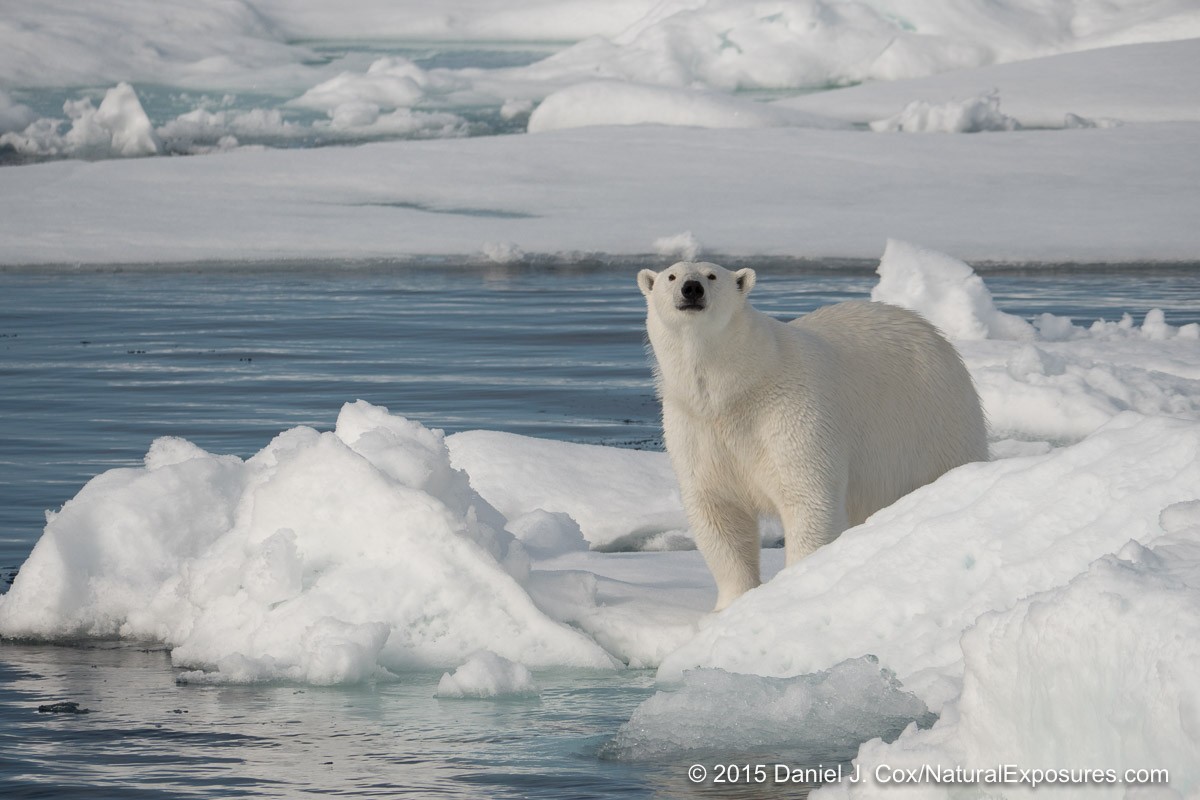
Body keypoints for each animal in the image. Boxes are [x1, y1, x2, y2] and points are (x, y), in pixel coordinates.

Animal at [638, 261, 987, 611]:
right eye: (671, 276)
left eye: (711, 275)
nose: (691, 289)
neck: (736, 388)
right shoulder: (695, 427)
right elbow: (719, 510)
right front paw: (730, 605)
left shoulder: (791, 412)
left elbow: (807, 496)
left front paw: (793, 587)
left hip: (934, 419)